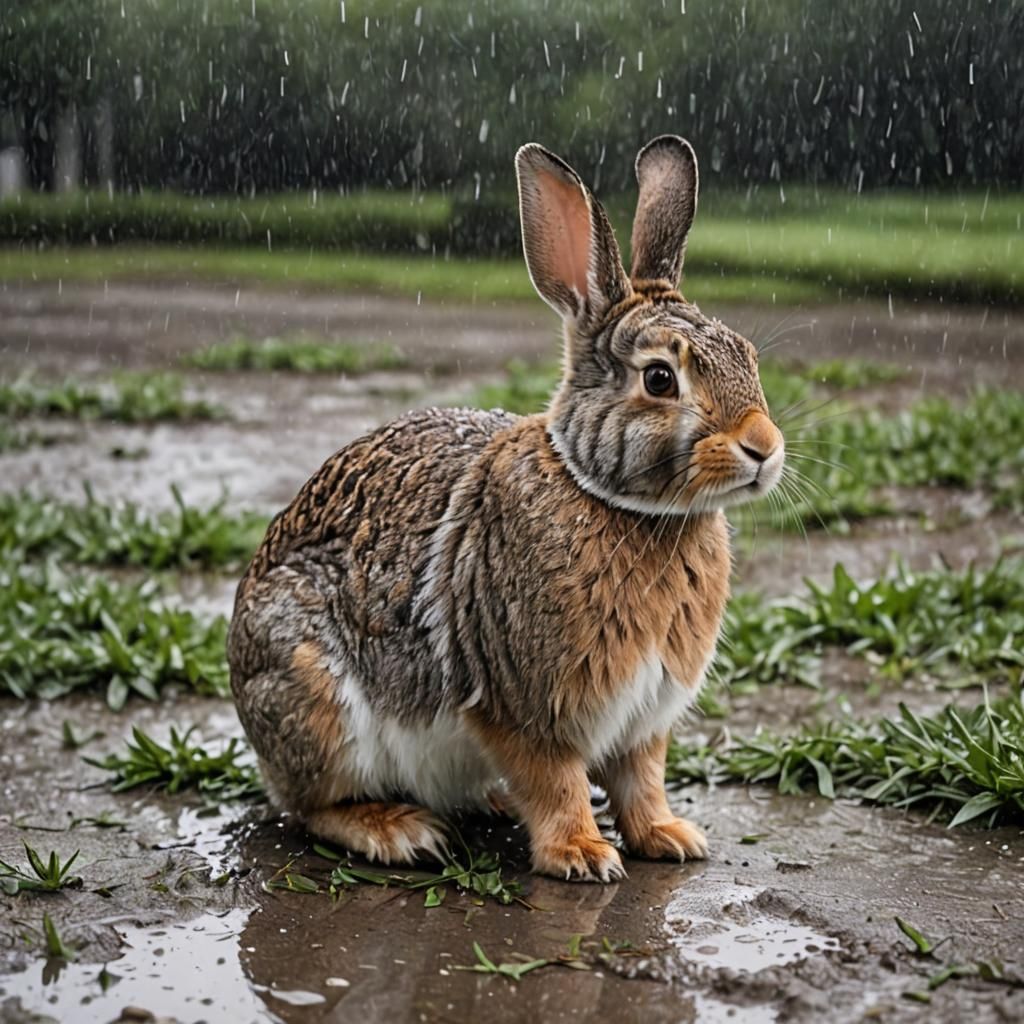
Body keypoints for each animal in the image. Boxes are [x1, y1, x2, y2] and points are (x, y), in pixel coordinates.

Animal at [228, 135, 784, 882]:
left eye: (746, 354)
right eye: (660, 379)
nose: (764, 449)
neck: (616, 500)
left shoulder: (644, 719)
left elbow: (641, 780)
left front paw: (669, 836)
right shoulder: (522, 704)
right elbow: (555, 781)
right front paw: (582, 854)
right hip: (314, 692)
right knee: (309, 805)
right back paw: (399, 830)